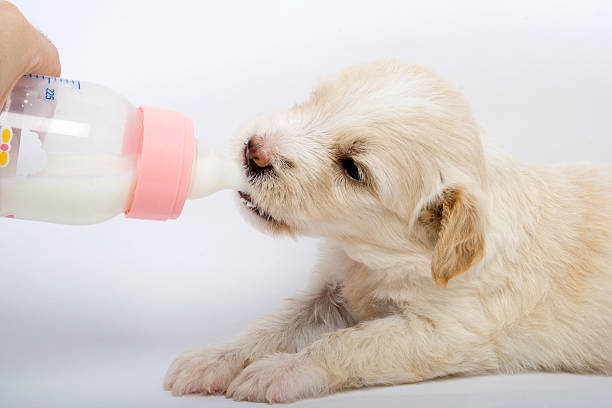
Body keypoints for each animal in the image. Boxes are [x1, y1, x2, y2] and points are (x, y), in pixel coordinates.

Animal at [163, 59, 612, 404]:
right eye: (314, 100)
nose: (253, 151)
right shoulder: (330, 290)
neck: (374, 257)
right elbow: (274, 324)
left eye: (352, 169)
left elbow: (348, 344)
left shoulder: (446, 331)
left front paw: (279, 370)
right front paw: (213, 358)